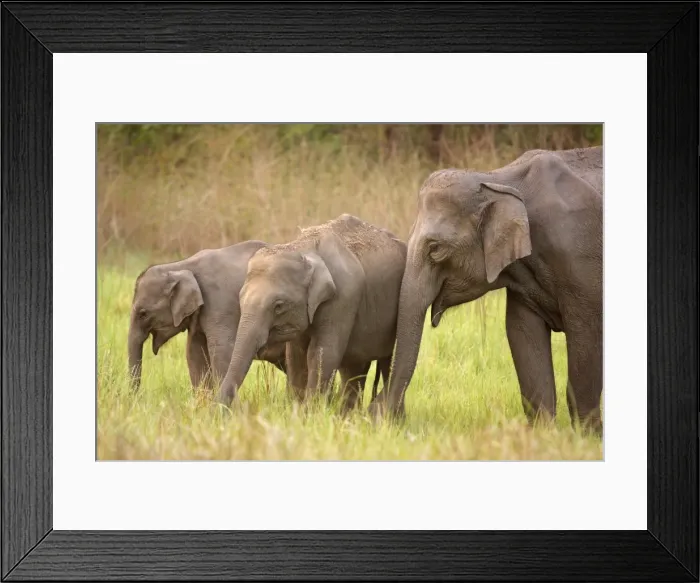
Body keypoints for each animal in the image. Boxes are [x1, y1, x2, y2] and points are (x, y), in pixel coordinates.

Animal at [127, 240, 287, 392]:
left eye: (143, 313)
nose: (136, 396)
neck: (180, 266)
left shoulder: (220, 305)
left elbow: (222, 350)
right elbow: (194, 353)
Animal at [217, 213, 407, 412]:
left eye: (278, 306)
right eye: (241, 299)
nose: (222, 410)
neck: (303, 248)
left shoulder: (344, 297)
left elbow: (322, 352)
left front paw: (310, 412)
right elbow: (296, 354)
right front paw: (297, 409)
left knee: (386, 363)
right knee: (354, 368)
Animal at [371, 146, 603, 433]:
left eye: (435, 249)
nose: (381, 410)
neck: (496, 179)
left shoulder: (581, 258)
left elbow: (586, 337)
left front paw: (585, 437)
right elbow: (522, 334)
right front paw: (543, 435)